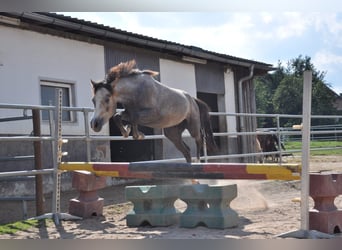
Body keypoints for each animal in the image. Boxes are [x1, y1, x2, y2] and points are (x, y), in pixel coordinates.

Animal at [88, 59, 216, 163]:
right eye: (93, 100)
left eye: (107, 99)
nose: (94, 124)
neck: (136, 92)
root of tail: (192, 99)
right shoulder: (128, 112)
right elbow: (118, 116)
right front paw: (128, 131)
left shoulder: (154, 115)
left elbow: (135, 117)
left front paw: (137, 134)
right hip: (172, 132)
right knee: (186, 151)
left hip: (193, 126)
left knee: (199, 139)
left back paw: (198, 160)